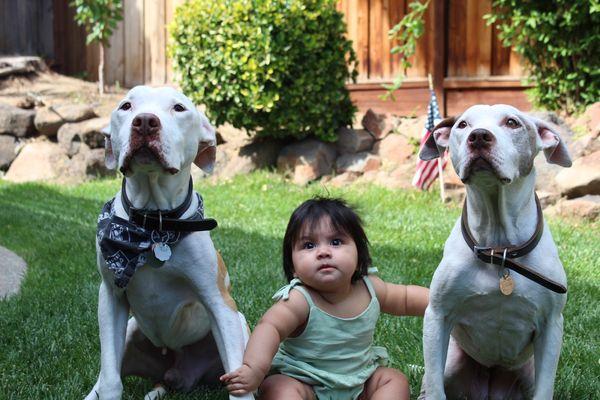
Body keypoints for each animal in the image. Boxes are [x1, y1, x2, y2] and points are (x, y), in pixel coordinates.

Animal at [85, 86, 253, 400]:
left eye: (179, 108)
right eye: (126, 106)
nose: (145, 122)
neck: (155, 225)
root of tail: (178, 372)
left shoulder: (219, 303)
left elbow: (239, 381)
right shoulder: (111, 297)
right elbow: (110, 378)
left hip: (238, 324)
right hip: (130, 331)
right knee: (104, 378)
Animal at [418, 104, 572, 398]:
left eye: (512, 123)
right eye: (463, 125)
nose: (479, 136)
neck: (499, 248)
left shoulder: (551, 327)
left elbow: (545, 388)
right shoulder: (437, 316)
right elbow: (434, 387)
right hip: (452, 362)